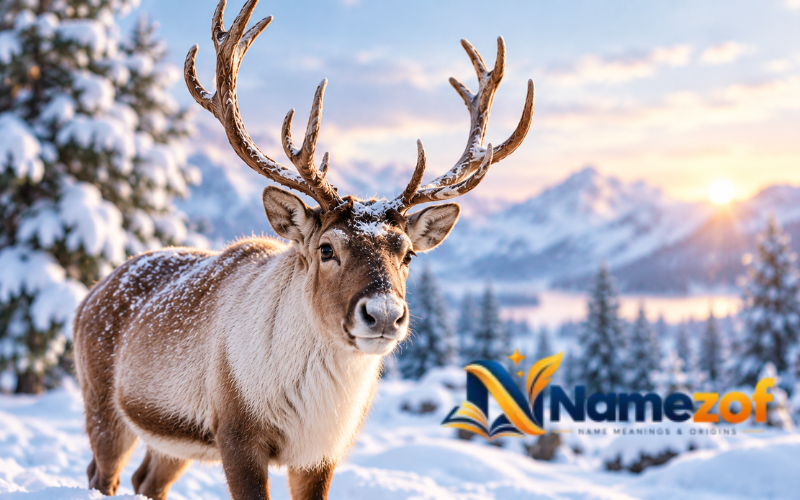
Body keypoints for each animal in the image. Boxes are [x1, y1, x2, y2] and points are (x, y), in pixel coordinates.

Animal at [72, 1, 534, 499]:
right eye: (328, 249)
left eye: (407, 253)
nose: (383, 314)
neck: (314, 407)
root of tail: (90, 295)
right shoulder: (236, 433)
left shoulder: (321, 453)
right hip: (103, 405)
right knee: (102, 473)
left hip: (174, 443)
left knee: (147, 481)